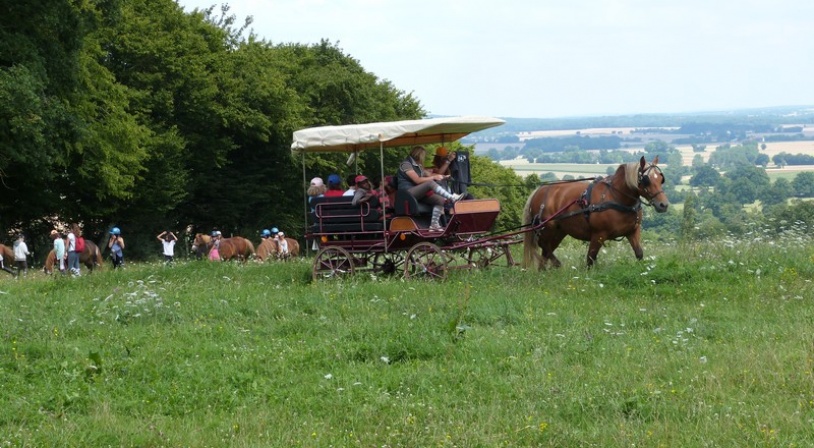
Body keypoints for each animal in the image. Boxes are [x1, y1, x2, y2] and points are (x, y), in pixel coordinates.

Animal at [524, 156, 672, 268]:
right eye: (646, 180)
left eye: (660, 178)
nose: (663, 205)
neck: (617, 197)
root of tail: (538, 190)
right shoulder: (598, 235)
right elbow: (590, 259)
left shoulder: (633, 231)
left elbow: (639, 253)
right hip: (547, 227)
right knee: (543, 245)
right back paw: (557, 264)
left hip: (559, 232)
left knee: (545, 251)